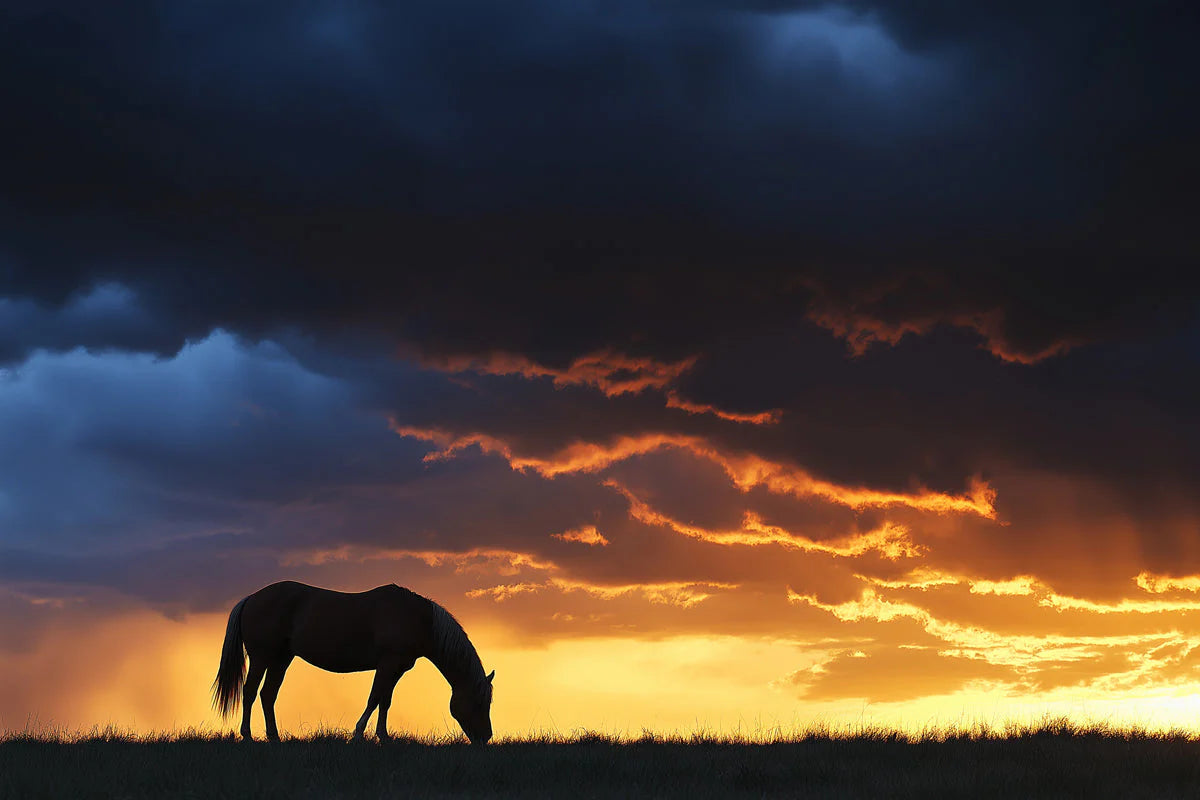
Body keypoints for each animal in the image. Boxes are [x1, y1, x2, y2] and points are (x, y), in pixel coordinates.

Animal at [211, 581, 494, 744]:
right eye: (480, 702)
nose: (487, 737)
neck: (418, 619)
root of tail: (251, 598)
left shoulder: (397, 668)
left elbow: (385, 701)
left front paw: (384, 737)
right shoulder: (387, 665)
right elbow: (374, 698)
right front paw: (359, 734)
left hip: (282, 659)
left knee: (268, 695)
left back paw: (274, 738)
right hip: (262, 657)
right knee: (249, 692)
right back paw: (247, 736)